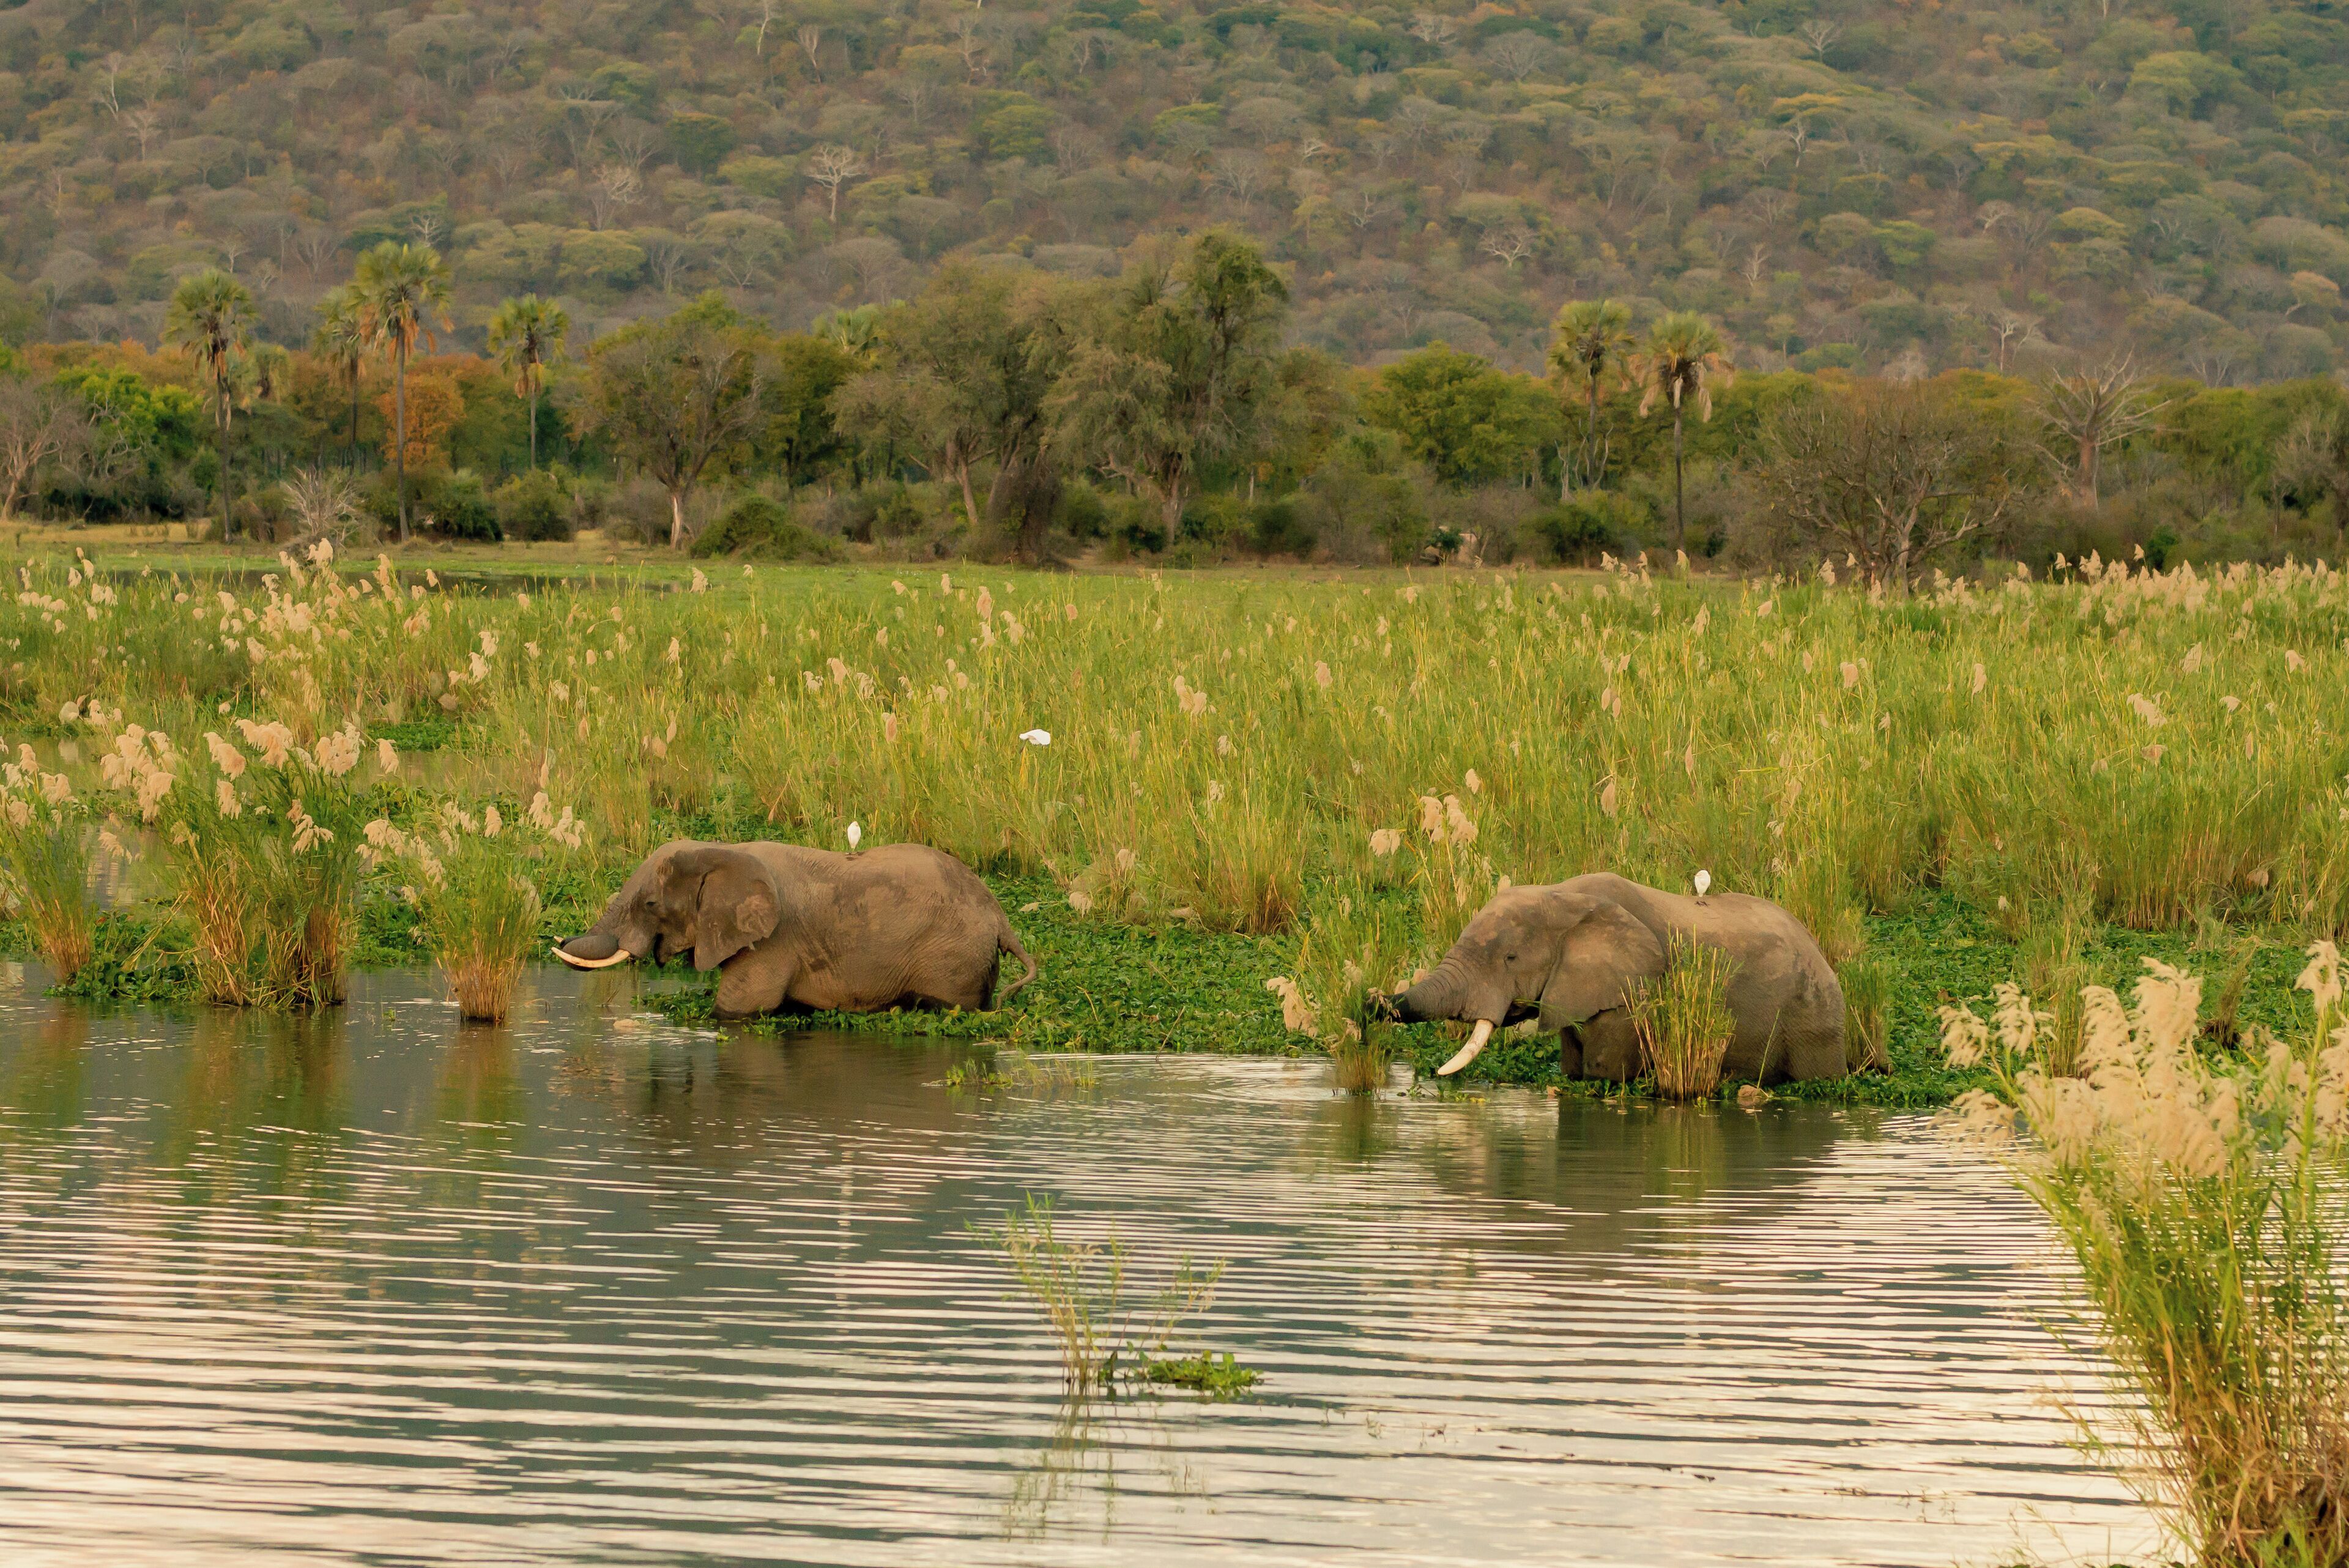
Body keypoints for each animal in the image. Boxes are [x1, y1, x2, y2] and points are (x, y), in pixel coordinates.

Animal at [553, 840, 1037, 1021]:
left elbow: (736, 1009)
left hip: (951, 956)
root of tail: (1001, 917)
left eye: (651, 905)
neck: (721, 851)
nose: (557, 941)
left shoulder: (774, 942)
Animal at [1381, 873, 1845, 1085]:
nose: (1373, 1003)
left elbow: (1603, 1075)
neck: (1561, 894)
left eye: (1511, 958)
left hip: (1814, 1022)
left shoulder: (1631, 996)